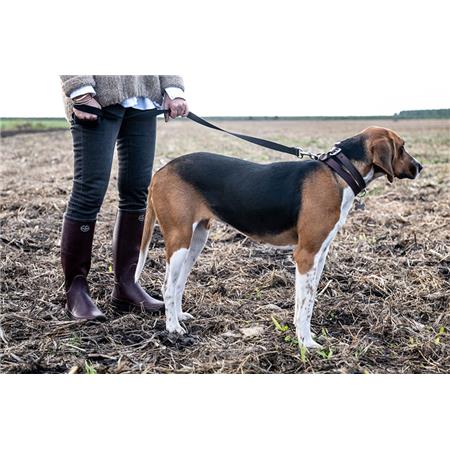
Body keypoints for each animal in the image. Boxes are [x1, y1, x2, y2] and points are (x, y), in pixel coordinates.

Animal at [136, 126, 422, 348]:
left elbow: (306, 301)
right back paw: (173, 328)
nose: (420, 167)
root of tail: (161, 170)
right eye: (402, 147)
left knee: (178, 284)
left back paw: (179, 316)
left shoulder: (320, 255)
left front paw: (303, 334)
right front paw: (306, 343)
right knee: (167, 286)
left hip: (197, 239)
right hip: (179, 238)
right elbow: (305, 304)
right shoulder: (306, 254)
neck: (338, 173)